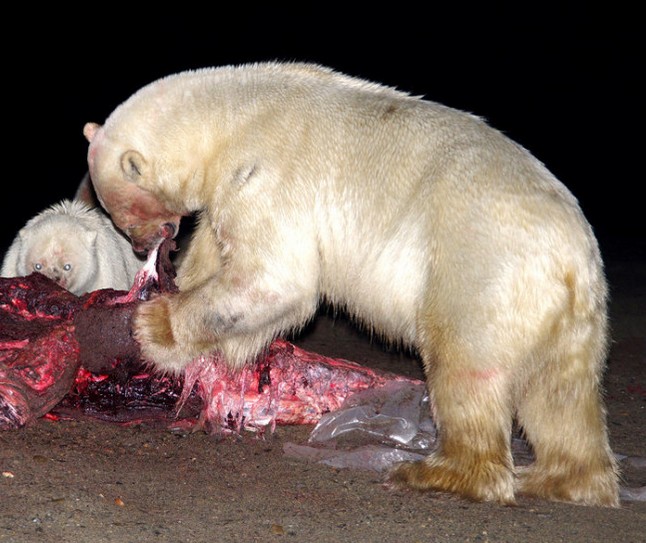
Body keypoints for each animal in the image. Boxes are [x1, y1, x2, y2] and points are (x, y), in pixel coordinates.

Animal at [83, 61, 619, 507]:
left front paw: (153, 327)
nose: (140, 245)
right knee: (559, 395)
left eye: (121, 211)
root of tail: (572, 258)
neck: (228, 117)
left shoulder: (264, 174)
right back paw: (559, 478)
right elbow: (218, 250)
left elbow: (274, 278)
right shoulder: (230, 187)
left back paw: (439, 473)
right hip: (566, 315)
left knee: (466, 366)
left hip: (479, 267)